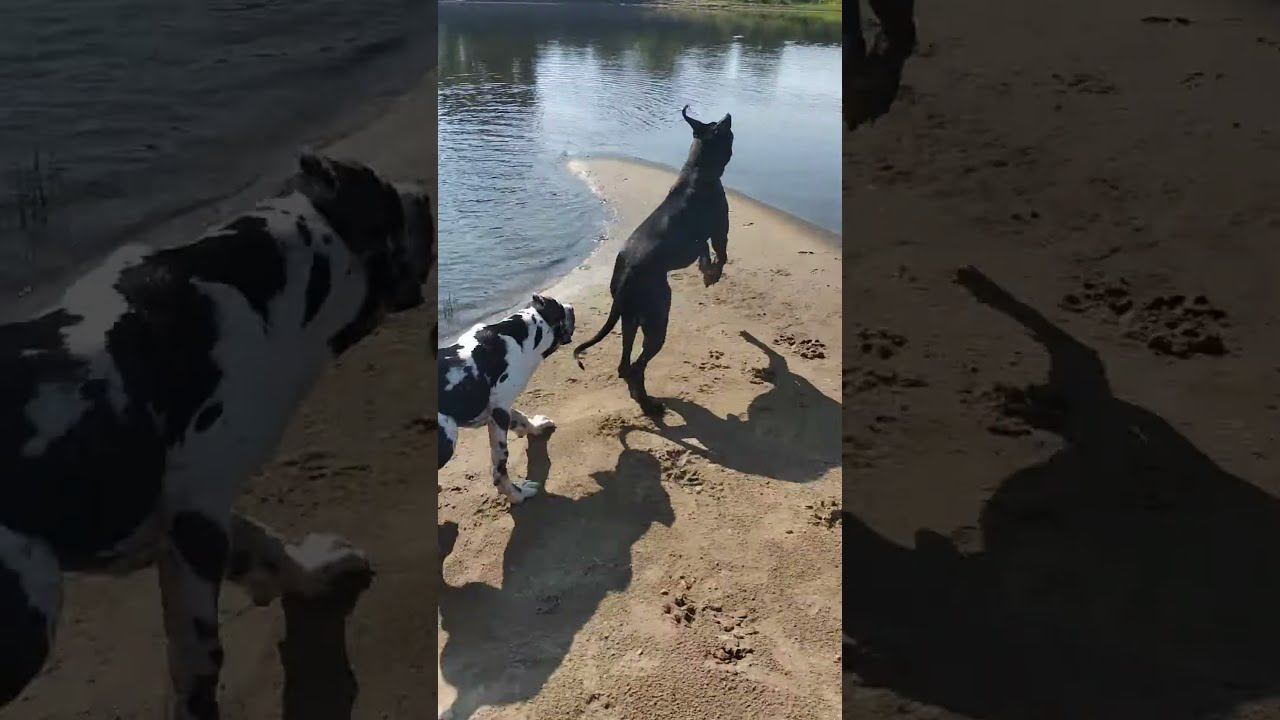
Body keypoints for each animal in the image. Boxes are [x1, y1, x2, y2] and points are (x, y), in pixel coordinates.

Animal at [0, 149, 435, 712]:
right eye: (388, 202)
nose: (423, 195)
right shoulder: (197, 520)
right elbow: (200, 656)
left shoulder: (192, 508)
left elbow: (261, 541)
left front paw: (314, 573)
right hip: (33, 593)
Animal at [442, 294, 578, 502]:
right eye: (560, 309)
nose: (572, 307)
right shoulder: (500, 413)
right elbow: (500, 464)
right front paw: (517, 494)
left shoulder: (500, 407)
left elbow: (521, 417)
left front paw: (537, 426)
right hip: (448, 433)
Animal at [576, 105, 737, 417]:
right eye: (719, 128)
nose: (728, 116)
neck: (698, 172)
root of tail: (625, 278)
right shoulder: (719, 231)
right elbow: (721, 256)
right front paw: (712, 274)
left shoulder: (700, 241)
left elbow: (704, 253)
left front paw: (705, 269)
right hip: (657, 319)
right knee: (638, 366)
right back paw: (649, 404)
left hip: (630, 320)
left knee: (626, 363)